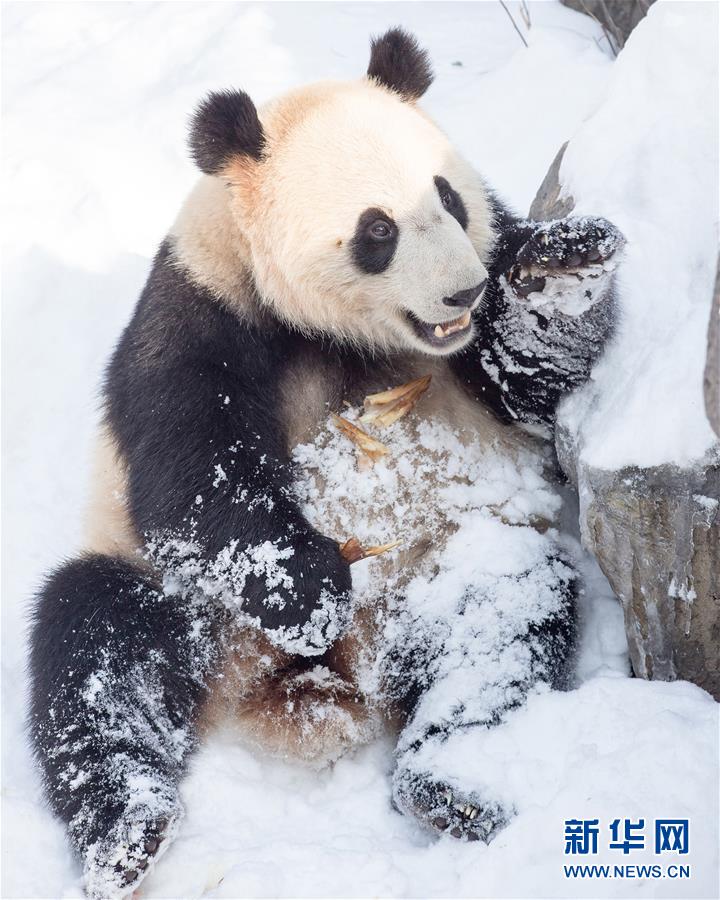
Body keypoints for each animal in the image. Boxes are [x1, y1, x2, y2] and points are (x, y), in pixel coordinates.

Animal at [29, 28, 623, 899]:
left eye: (449, 198)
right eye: (377, 230)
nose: (464, 293)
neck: (344, 335)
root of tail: (313, 689)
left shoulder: (485, 304)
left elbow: (532, 390)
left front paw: (563, 268)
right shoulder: (203, 305)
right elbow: (189, 473)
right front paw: (307, 589)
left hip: (439, 565)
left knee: (497, 617)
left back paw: (447, 785)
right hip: (193, 611)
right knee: (98, 645)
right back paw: (127, 833)